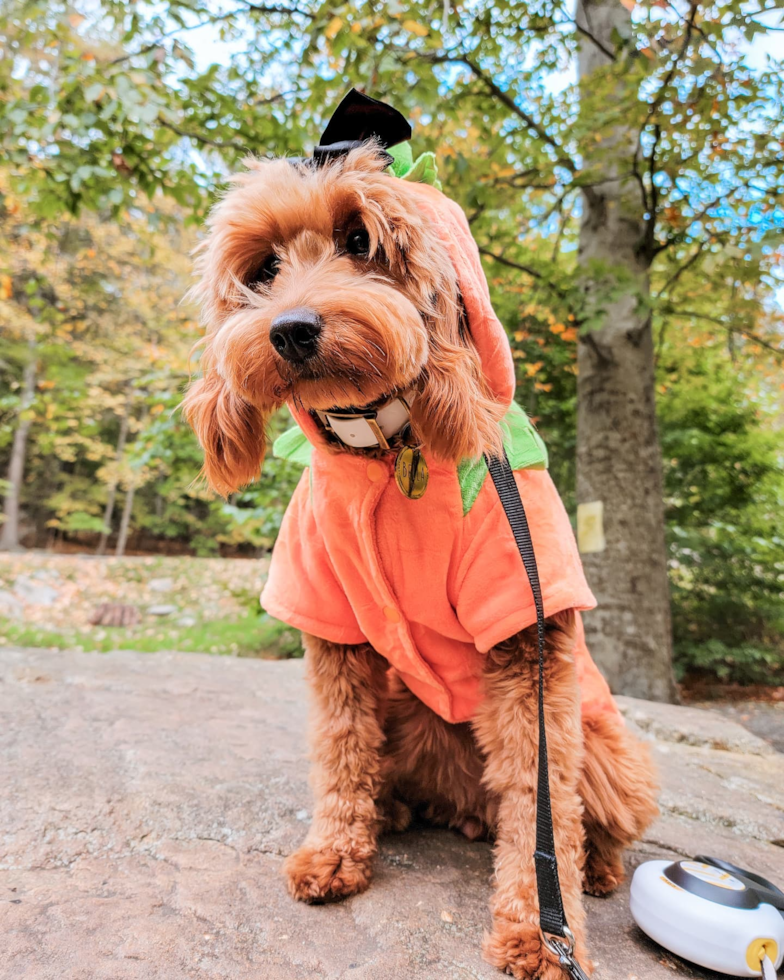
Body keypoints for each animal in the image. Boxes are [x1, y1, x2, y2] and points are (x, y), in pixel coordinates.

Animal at [184, 90, 656, 972]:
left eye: (360, 241)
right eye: (262, 270)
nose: (291, 328)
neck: (385, 449)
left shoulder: (527, 628)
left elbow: (540, 804)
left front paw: (542, 934)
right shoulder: (329, 622)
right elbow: (340, 745)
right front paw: (337, 850)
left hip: (614, 748)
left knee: (575, 816)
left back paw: (599, 870)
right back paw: (394, 811)